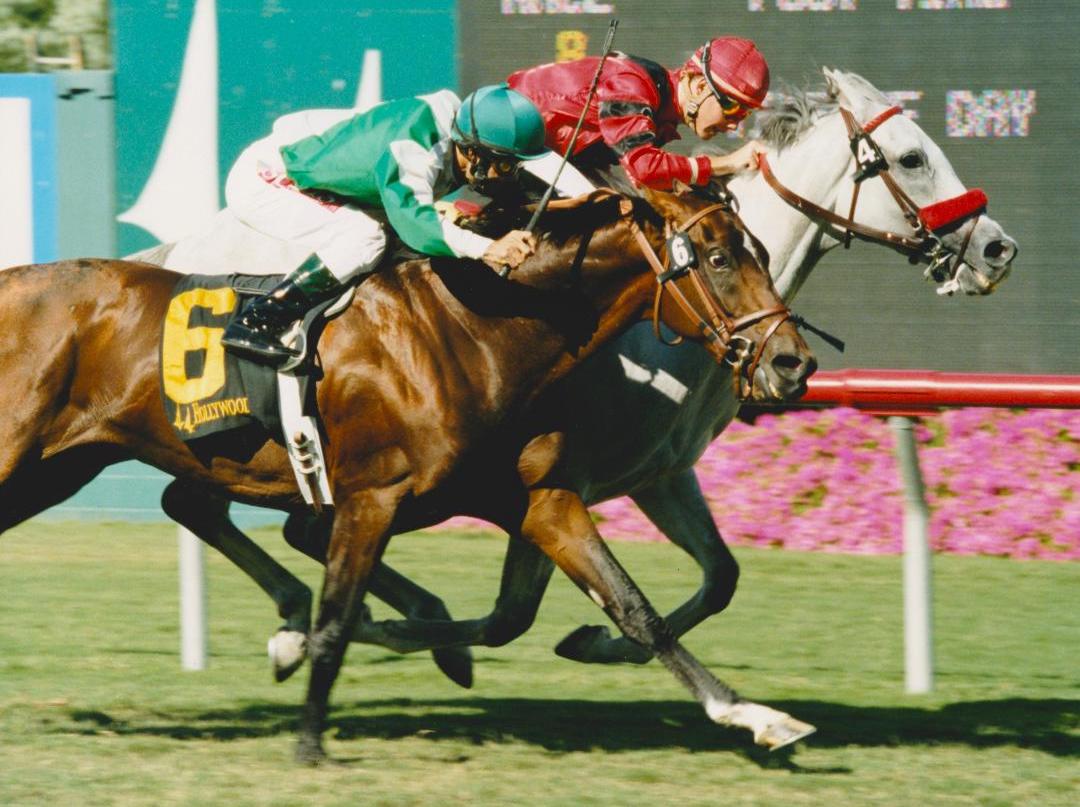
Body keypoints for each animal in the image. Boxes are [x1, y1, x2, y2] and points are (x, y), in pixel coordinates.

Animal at [0, 189, 812, 764]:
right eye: (718, 259)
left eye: (760, 251)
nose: (791, 361)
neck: (480, 329)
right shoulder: (371, 498)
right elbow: (335, 618)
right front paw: (309, 741)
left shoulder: (541, 497)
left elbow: (633, 607)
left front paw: (758, 716)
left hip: (59, 468)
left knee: (189, 504)